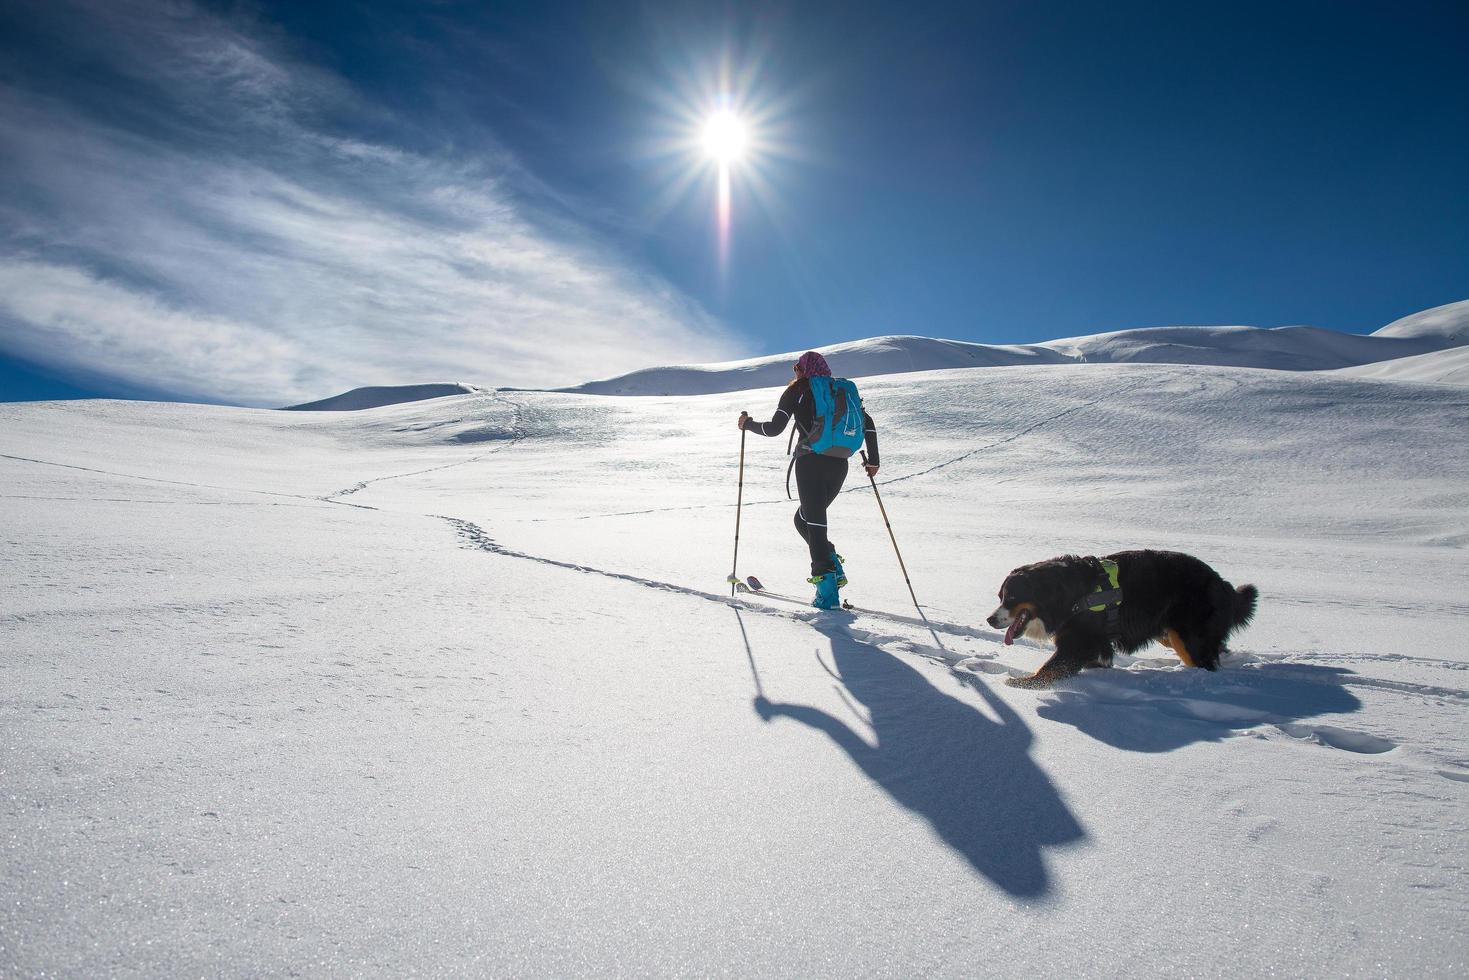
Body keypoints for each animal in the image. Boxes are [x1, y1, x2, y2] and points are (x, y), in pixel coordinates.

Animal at [987, 552, 1251, 690]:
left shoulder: (1079, 641)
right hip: (1168, 632)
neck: (1068, 595)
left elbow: (1049, 669)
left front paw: (1018, 682)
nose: (990, 619)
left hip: (1187, 636)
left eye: (1011, 597)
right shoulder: (1096, 643)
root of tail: (1223, 584)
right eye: (1000, 597)